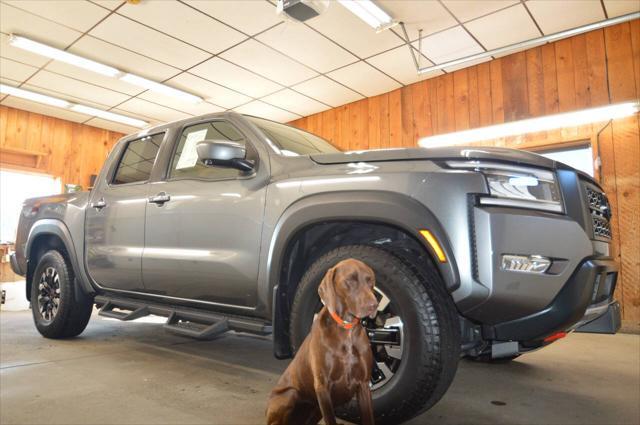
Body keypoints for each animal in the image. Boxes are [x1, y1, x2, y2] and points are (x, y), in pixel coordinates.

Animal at [266, 258, 380, 424]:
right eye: (350, 280)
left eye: (370, 280)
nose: (374, 305)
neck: (346, 329)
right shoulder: (323, 386)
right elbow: (331, 419)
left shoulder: (364, 385)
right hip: (290, 395)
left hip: (315, 410)